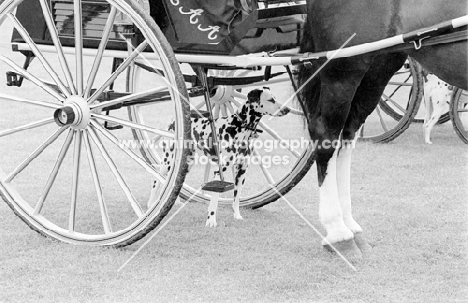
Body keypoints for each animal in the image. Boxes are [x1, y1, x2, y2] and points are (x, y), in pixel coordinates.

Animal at [149, 88, 288, 226]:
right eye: (270, 99)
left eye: (275, 98)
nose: (287, 109)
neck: (238, 128)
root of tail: (175, 121)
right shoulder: (219, 173)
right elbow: (214, 200)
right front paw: (211, 220)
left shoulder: (241, 172)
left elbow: (236, 198)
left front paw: (237, 216)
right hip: (168, 161)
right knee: (157, 178)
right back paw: (151, 206)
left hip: (186, 163)